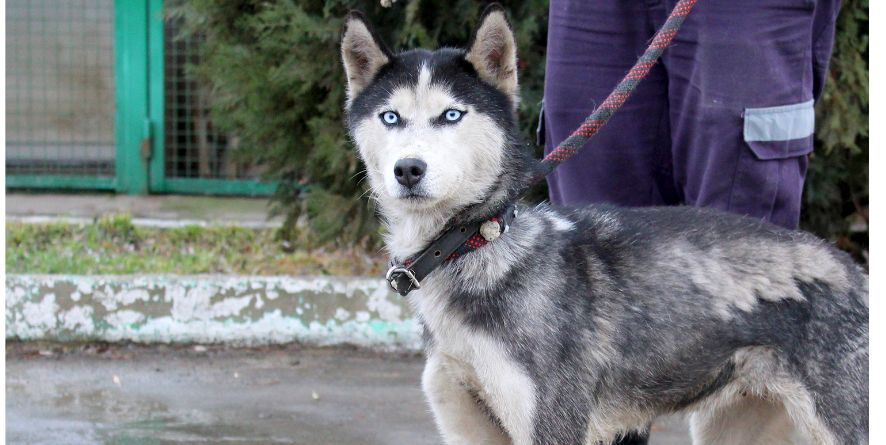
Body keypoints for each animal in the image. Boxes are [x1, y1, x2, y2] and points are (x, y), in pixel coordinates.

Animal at [344, 6, 872, 444]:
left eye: (451, 115)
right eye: (390, 117)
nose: (408, 170)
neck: (472, 247)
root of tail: (853, 269)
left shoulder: (553, 428)